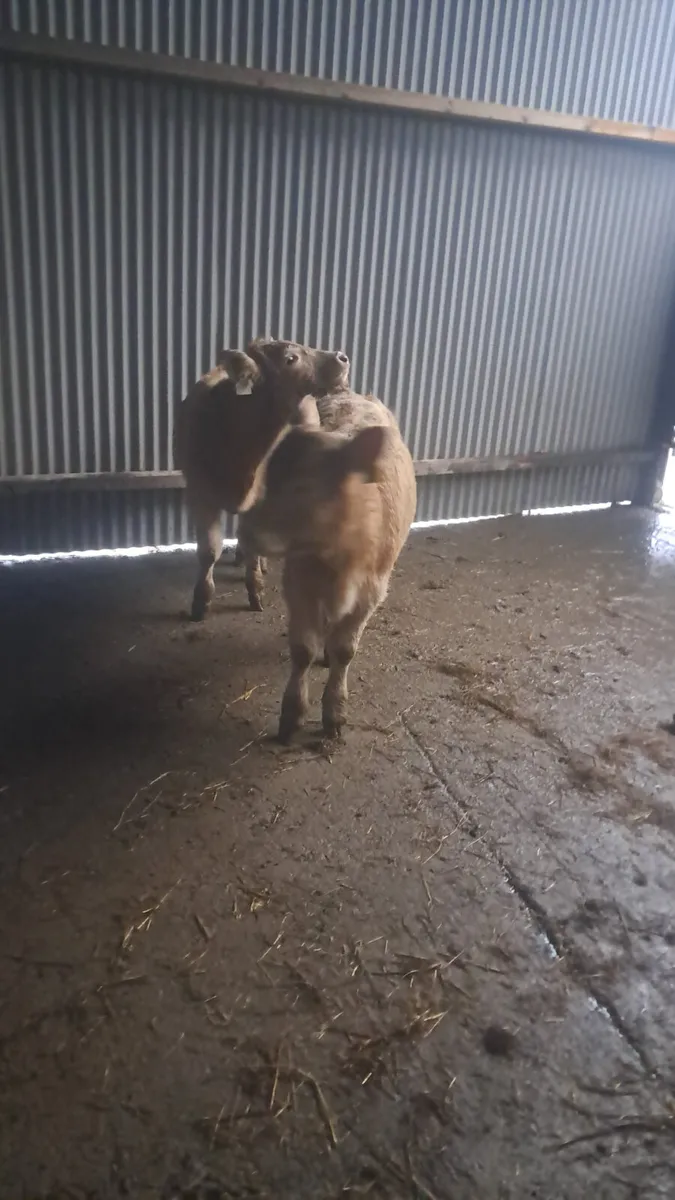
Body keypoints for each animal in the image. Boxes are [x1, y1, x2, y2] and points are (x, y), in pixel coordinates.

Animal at [173, 341, 351, 620]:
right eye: (291, 358)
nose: (342, 357)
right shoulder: (198, 493)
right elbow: (209, 550)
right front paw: (201, 601)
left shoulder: (260, 495)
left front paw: (255, 589)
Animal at [235, 347, 417, 742]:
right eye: (265, 478)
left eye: (304, 486)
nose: (247, 533)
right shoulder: (298, 583)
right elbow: (302, 648)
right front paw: (292, 714)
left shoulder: (372, 590)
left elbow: (346, 649)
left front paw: (335, 712)